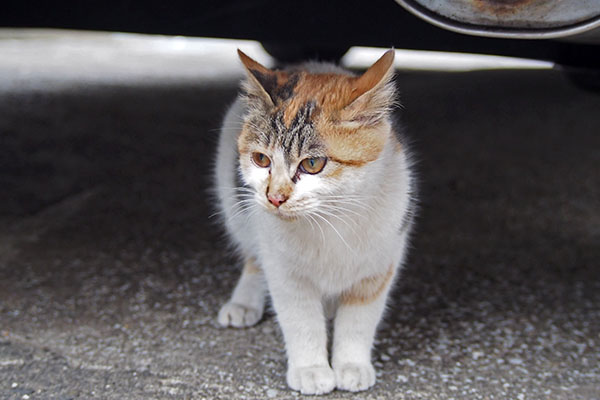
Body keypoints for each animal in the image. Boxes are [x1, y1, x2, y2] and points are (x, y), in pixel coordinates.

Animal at [216, 49, 418, 394]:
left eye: (312, 163)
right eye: (261, 159)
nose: (275, 197)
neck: (331, 220)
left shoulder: (380, 264)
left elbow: (359, 320)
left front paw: (351, 365)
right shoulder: (285, 271)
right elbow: (301, 320)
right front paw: (311, 370)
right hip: (236, 206)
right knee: (253, 257)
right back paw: (244, 303)